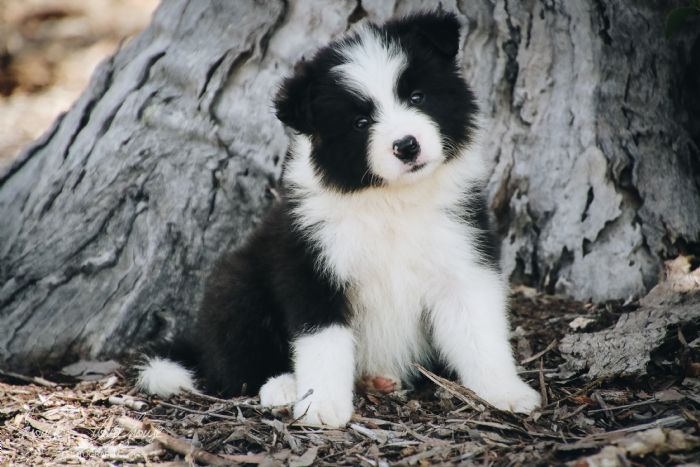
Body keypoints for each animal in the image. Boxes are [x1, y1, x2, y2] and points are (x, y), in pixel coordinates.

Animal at [138, 10, 540, 428]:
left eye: (417, 97)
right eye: (360, 123)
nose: (406, 145)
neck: (391, 201)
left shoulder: (462, 255)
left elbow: (479, 331)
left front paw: (505, 391)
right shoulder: (311, 266)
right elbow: (322, 341)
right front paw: (321, 406)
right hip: (238, 282)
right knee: (233, 364)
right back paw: (283, 386)